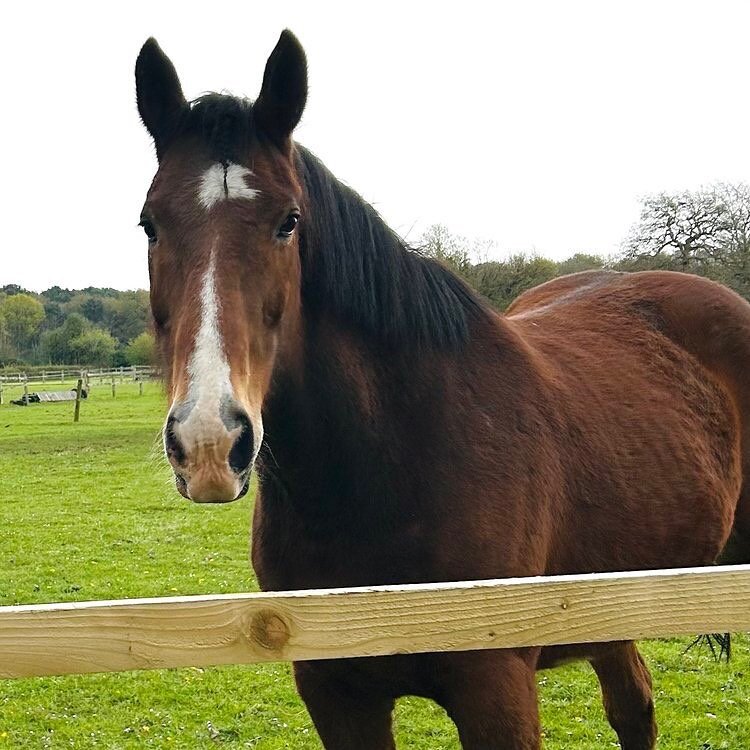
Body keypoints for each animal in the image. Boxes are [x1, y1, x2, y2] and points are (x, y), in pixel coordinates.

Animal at [135, 30, 750, 750]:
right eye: (150, 223)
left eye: (288, 221)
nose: (209, 442)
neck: (392, 462)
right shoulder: (338, 696)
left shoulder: (498, 694)